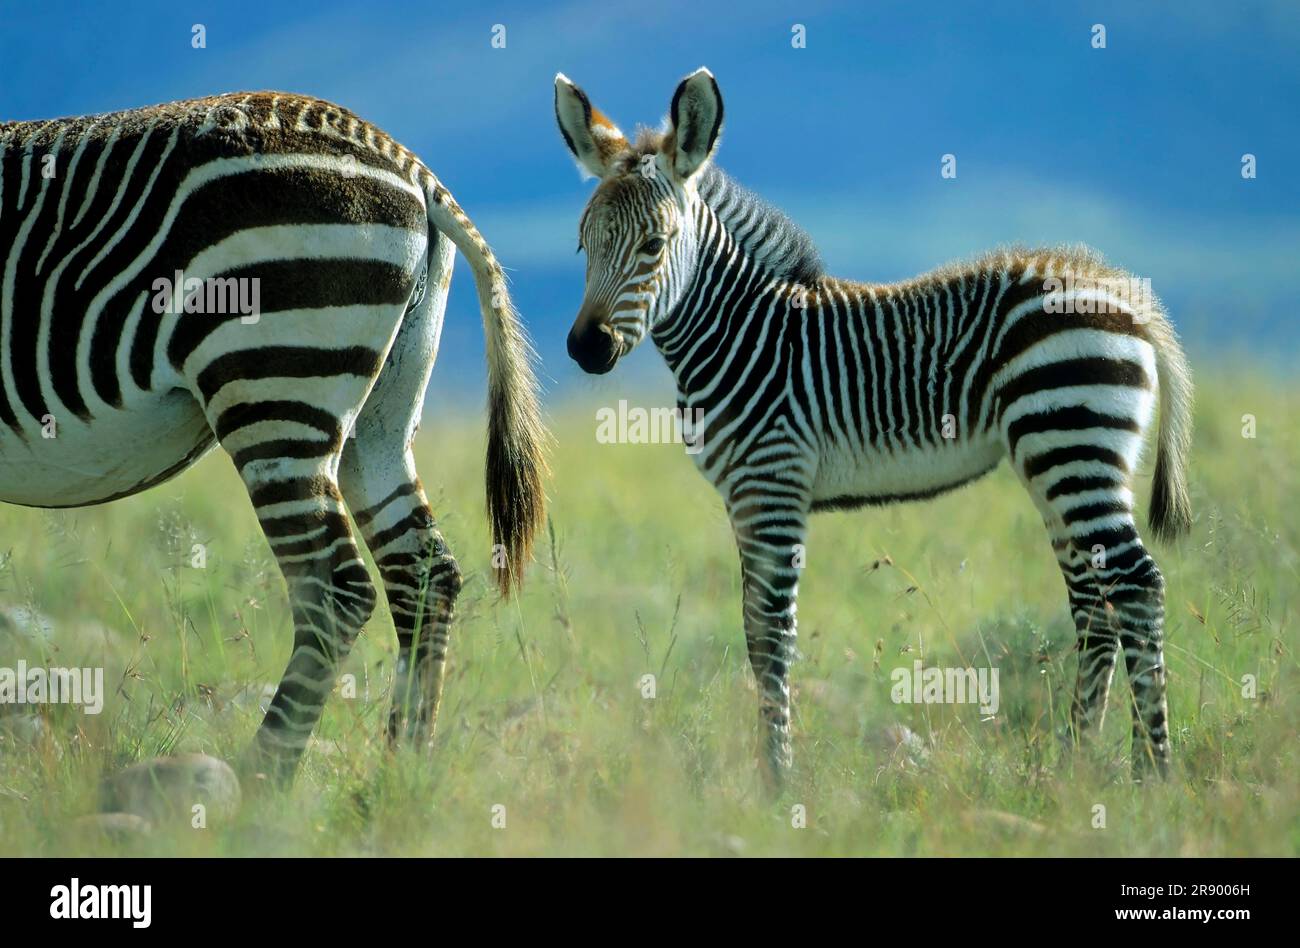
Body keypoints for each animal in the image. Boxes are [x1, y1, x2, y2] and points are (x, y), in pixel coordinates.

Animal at [0, 92, 546, 780]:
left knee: (337, 590)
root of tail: (411, 167)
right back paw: (404, 773)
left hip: (274, 383)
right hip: (382, 420)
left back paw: (263, 778)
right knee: (425, 574)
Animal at [553, 68, 1190, 785]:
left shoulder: (773, 484)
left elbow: (772, 638)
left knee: (1136, 588)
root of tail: (1126, 295)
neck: (745, 332)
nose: (586, 349)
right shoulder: (745, 498)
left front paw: (777, 781)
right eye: (584, 243)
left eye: (654, 245)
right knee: (1093, 603)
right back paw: (1072, 768)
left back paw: (1154, 774)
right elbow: (751, 632)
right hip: (1066, 457)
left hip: (1072, 442)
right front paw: (770, 771)